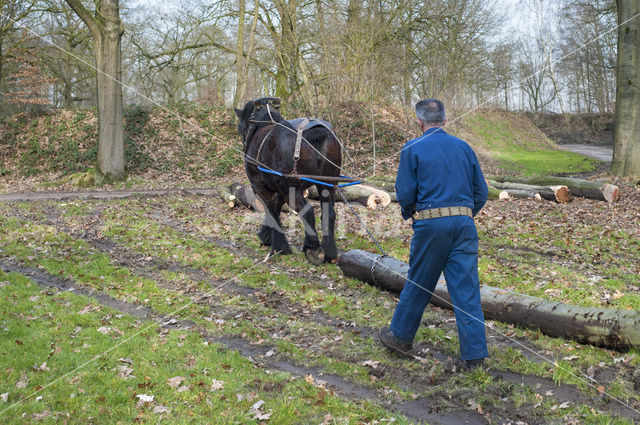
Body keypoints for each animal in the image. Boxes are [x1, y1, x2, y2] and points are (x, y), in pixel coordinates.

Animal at [235, 97, 342, 264]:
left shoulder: (259, 187)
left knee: (308, 211)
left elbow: (271, 211)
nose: (243, 144)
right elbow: (276, 208)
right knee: (329, 213)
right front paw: (268, 236)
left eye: (241, 128)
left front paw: (278, 246)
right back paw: (330, 251)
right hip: (328, 185)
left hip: (292, 190)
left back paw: (312, 248)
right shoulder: (279, 189)